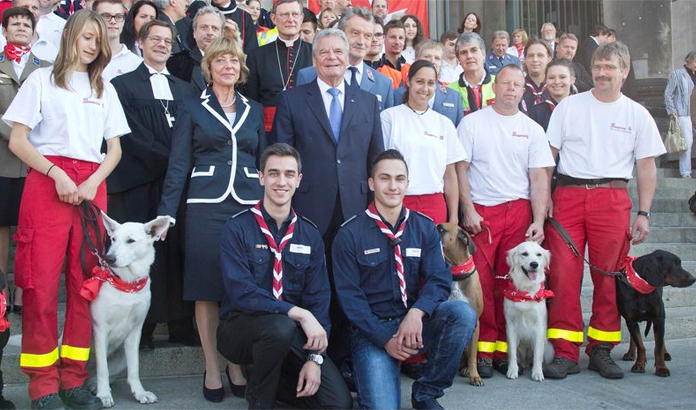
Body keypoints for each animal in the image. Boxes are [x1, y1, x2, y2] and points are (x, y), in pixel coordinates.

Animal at [87, 213, 171, 408]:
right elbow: (102, 368)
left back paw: (92, 385)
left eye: (130, 240)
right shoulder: (100, 329)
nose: (108, 258)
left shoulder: (135, 331)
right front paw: (104, 395)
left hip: (121, 359)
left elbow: (134, 368)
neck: (127, 284)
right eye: (113, 239)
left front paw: (139, 393)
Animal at [438, 223, 482, 386]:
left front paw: (475, 376)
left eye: (441, 229)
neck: (456, 270)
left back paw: (466, 369)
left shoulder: (476, 322)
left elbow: (473, 356)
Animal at [506, 242, 556, 382]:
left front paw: (537, 373)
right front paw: (512, 370)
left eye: (539, 254)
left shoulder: (539, 326)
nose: (534, 264)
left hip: (549, 348)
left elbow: (537, 356)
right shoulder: (510, 325)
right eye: (524, 254)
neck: (526, 291)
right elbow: (512, 353)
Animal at [616, 248, 692, 376]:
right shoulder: (630, 320)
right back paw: (631, 353)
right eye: (675, 264)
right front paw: (639, 364)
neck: (640, 284)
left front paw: (661, 368)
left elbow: (658, 346)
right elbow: (640, 345)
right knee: (633, 337)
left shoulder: (658, 319)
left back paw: (665, 353)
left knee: (661, 339)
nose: (693, 278)